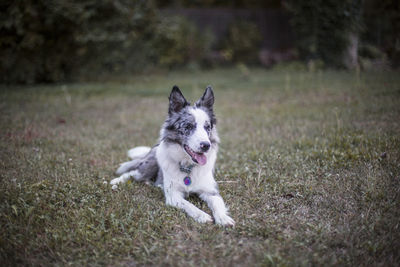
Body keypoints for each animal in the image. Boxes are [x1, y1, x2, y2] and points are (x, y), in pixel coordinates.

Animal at [109, 86, 234, 226]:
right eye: (188, 126)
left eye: (207, 127)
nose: (206, 145)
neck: (187, 166)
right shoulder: (173, 196)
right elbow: (189, 205)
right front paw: (202, 215)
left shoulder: (211, 191)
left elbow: (218, 204)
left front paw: (223, 218)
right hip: (148, 166)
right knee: (132, 173)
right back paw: (116, 181)